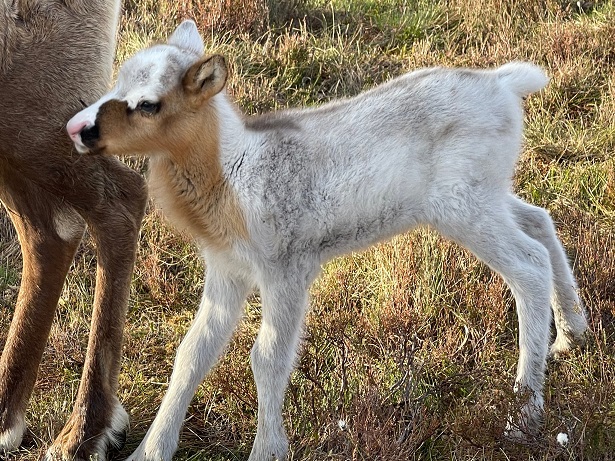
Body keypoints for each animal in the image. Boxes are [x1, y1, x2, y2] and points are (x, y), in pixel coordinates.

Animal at [65, 20, 588, 460]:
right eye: (115, 82)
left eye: (148, 103)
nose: (76, 129)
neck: (232, 174)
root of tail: (504, 84)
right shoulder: (227, 270)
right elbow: (193, 353)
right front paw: (148, 452)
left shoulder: (288, 267)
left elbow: (267, 358)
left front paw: (267, 451)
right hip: (488, 195)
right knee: (540, 221)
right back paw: (571, 335)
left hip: (464, 207)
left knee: (529, 265)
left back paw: (524, 415)